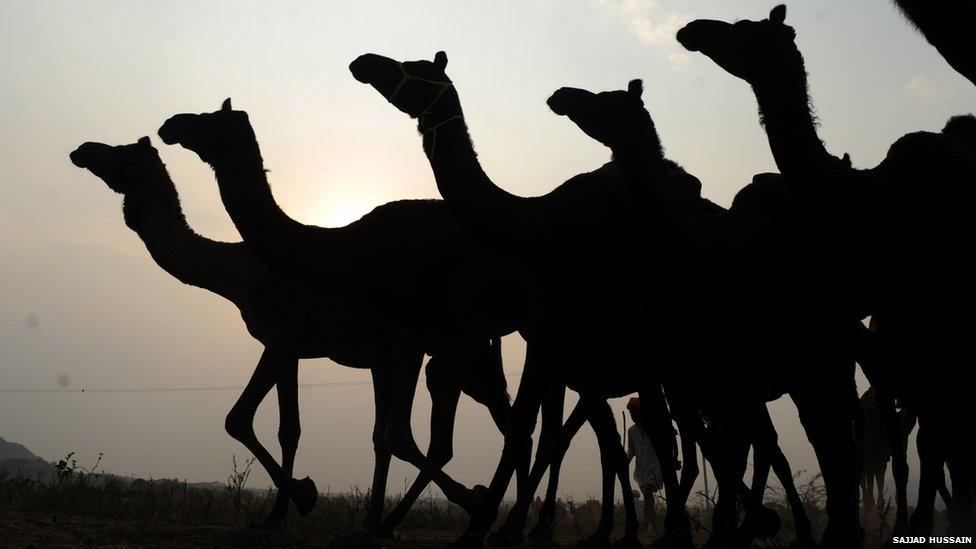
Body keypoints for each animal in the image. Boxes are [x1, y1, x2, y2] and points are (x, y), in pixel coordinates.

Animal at [68, 137, 516, 535]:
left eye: (125, 154)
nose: (83, 150)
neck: (240, 277)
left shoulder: (281, 338)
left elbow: (238, 418)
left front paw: (304, 495)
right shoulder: (292, 348)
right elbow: (289, 429)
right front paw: (277, 515)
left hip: (451, 349)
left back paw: (464, 512)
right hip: (468, 355)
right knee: (495, 421)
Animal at [352, 53, 862, 548]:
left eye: (415, 69)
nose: (363, 62)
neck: (539, 228)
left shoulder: (601, 342)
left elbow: (566, 432)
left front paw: (496, 527)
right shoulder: (564, 345)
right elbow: (552, 433)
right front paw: (503, 527)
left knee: (759, 430)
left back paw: (761, 526)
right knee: (735, 431)